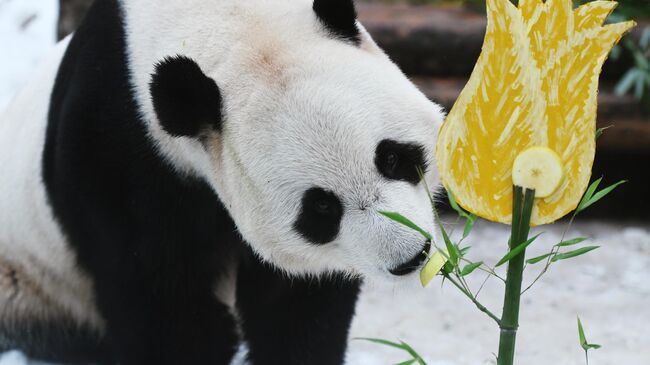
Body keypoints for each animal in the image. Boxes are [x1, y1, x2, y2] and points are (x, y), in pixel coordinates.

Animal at [0, 0, 442, 362]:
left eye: (390, 157)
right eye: (321, 208)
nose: (410, 256)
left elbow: (295, 305)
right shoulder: (119, 157)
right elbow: (164, 303)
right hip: (30, 278)